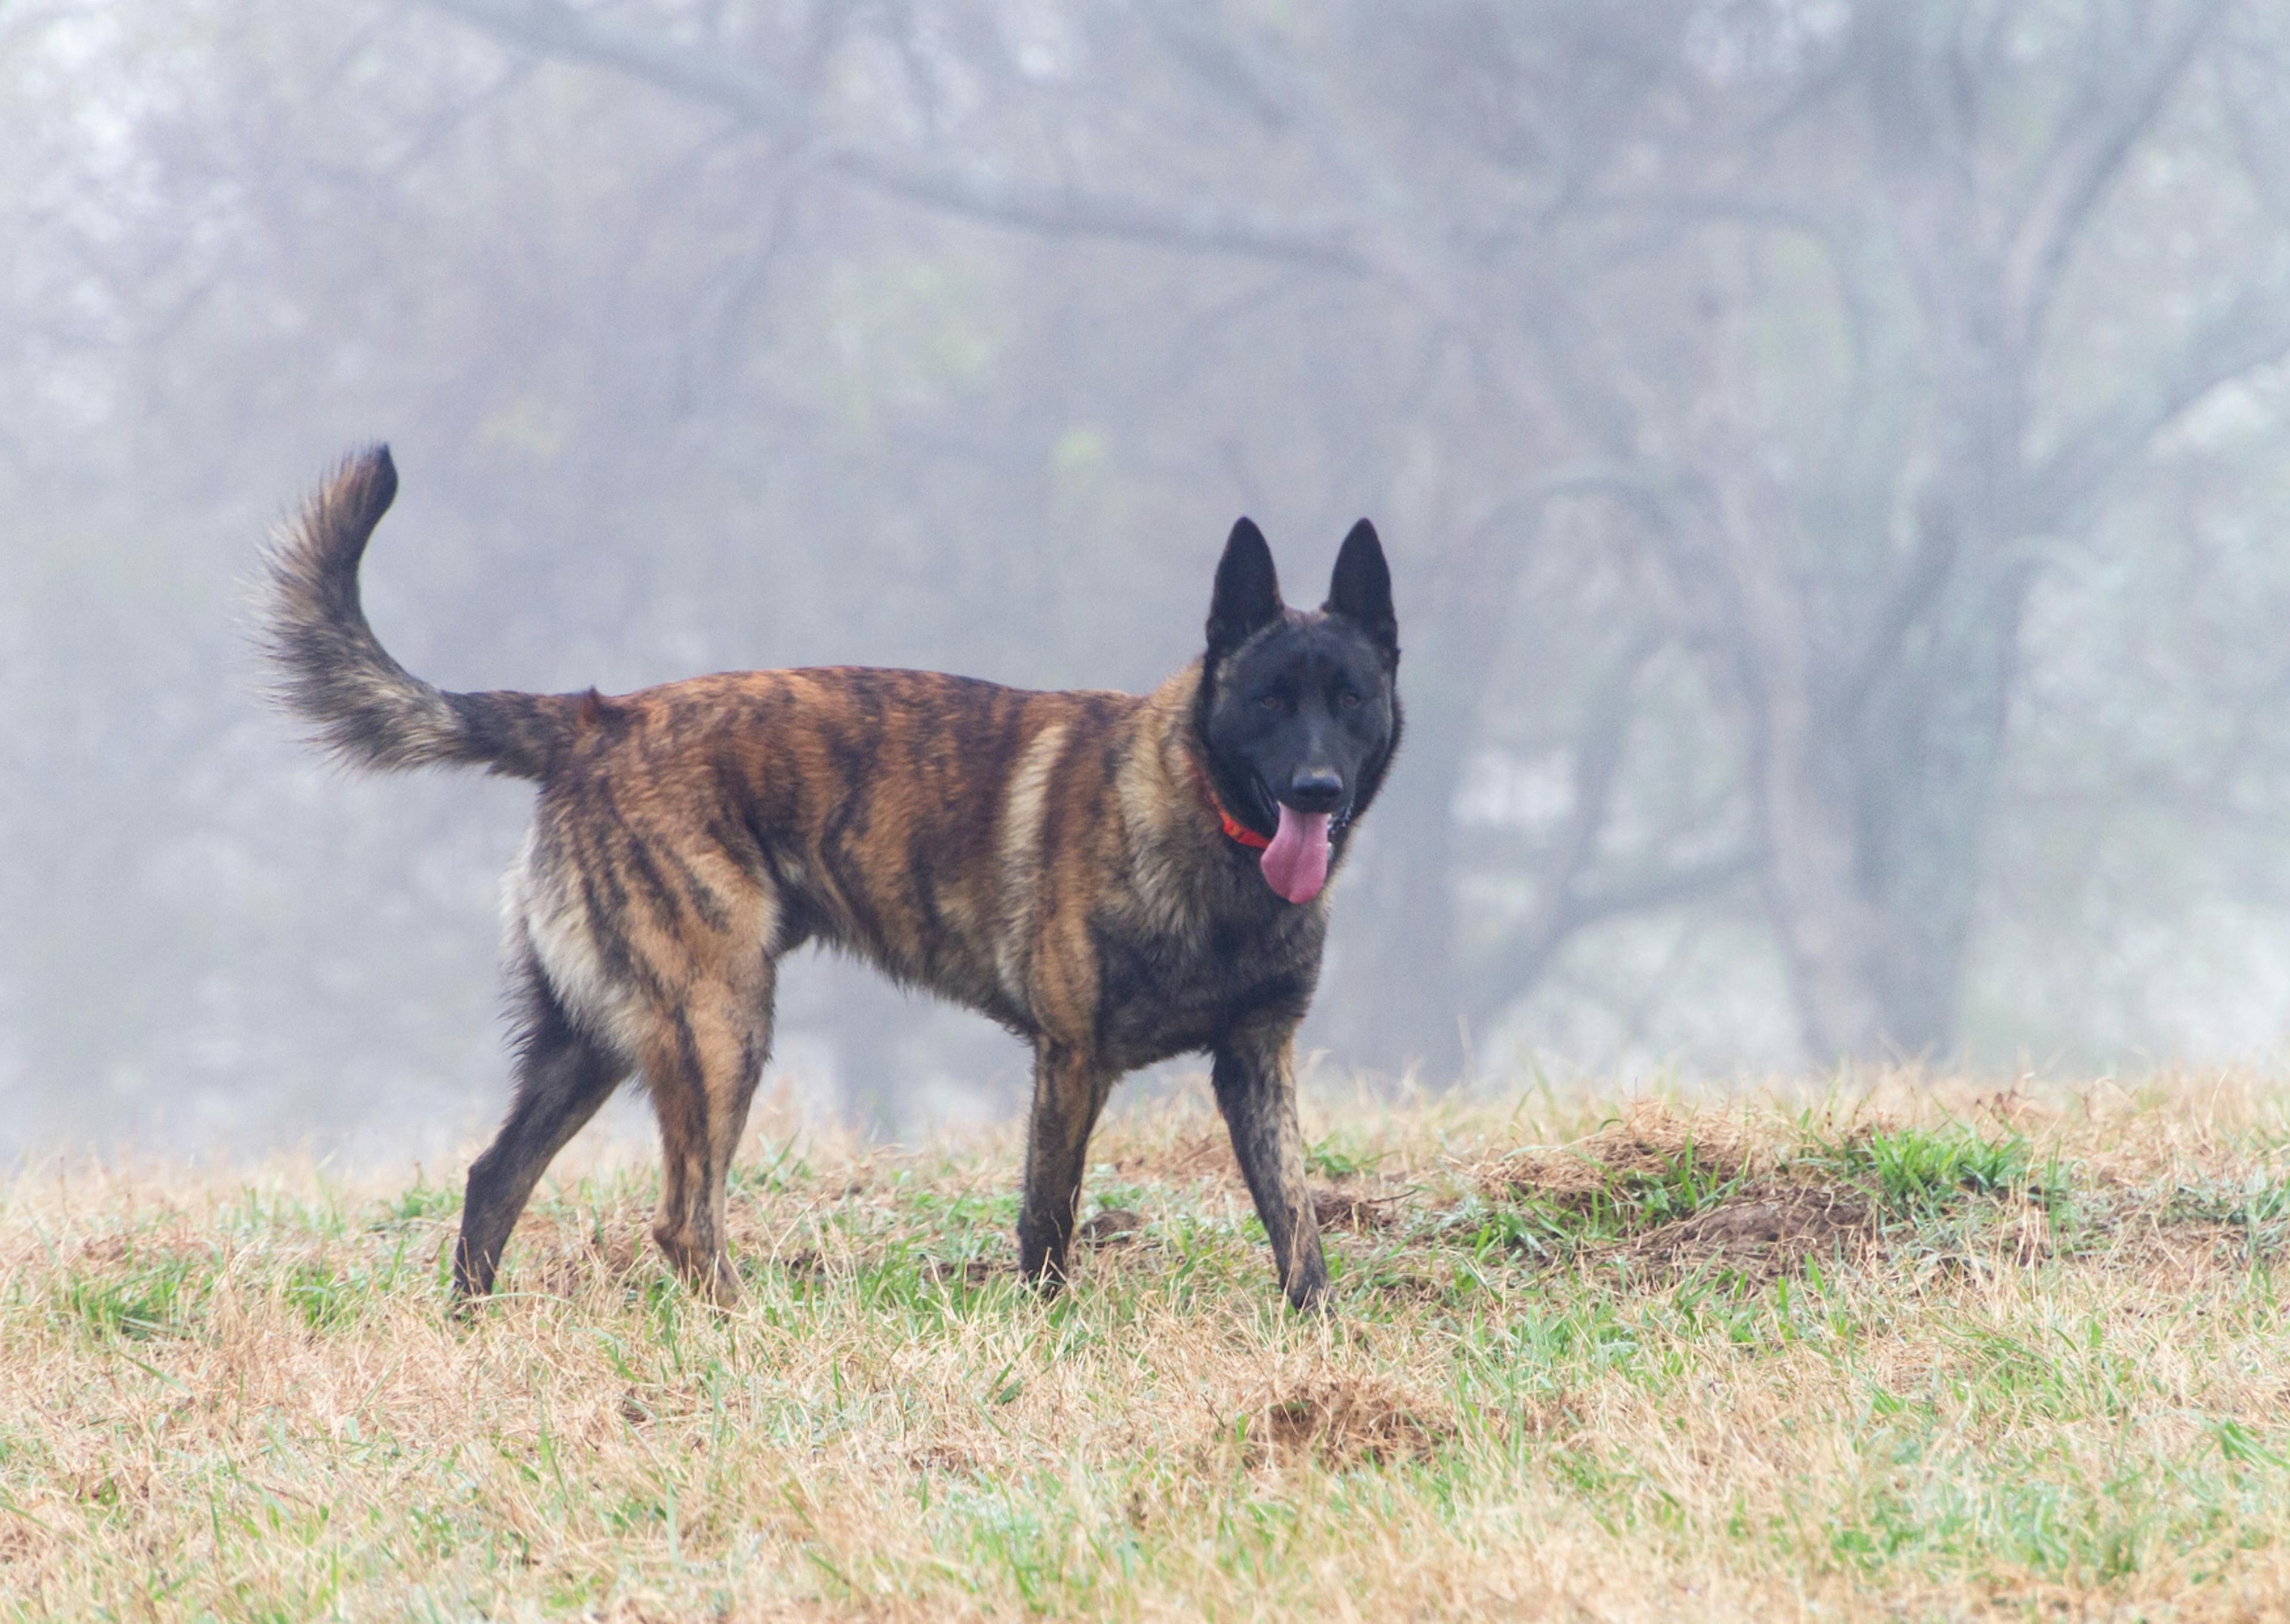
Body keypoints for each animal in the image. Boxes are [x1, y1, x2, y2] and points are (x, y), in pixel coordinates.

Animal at [270, 447, 1410, 1301]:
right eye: (1268, 700)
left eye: (1350, 698)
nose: (1315, 791)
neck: (1207, 825)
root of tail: (602, 718)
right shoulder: (1071, 1060)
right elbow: (1047, 1226)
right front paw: (1051, 1329)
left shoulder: (1256, 1059)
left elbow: (1299, 1229)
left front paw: (1314, 1330)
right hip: (718, 1026)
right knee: (683, 1220)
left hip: (591, 1042)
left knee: (492, 1181)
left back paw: (475, 1328)